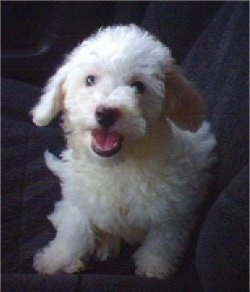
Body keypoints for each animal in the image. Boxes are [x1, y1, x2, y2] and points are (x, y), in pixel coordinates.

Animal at [31, 24, 216, 278]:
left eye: (138, 86)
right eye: (90, 80)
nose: (106, 113)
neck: (120, 164)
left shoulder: (176, 208)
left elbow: (162, 241)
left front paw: (153, 268)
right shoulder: (83, 197)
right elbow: (74, 232)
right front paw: (56, 261)